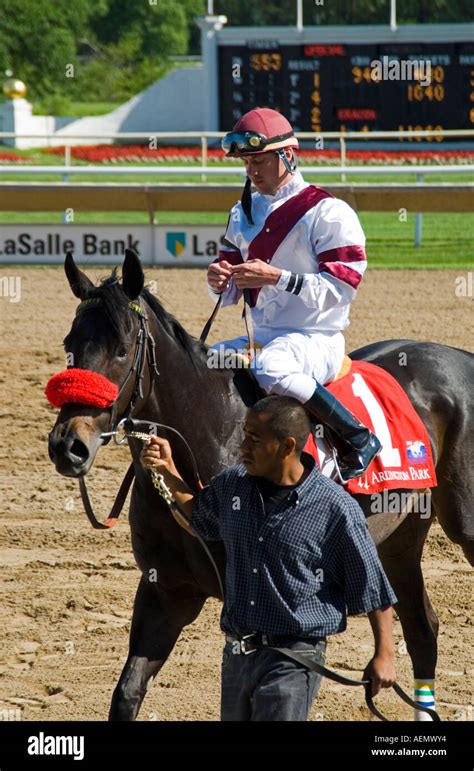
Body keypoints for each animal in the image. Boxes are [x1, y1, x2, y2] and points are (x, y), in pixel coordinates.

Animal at [47, 250, 470, 720]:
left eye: (122, 350)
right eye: (69, 346)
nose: (68, 446)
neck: (214, 436)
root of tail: (458, 355)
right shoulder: (165, 591)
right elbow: (126, 694)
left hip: (463, 523)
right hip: (399, 536)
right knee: (422, 629)